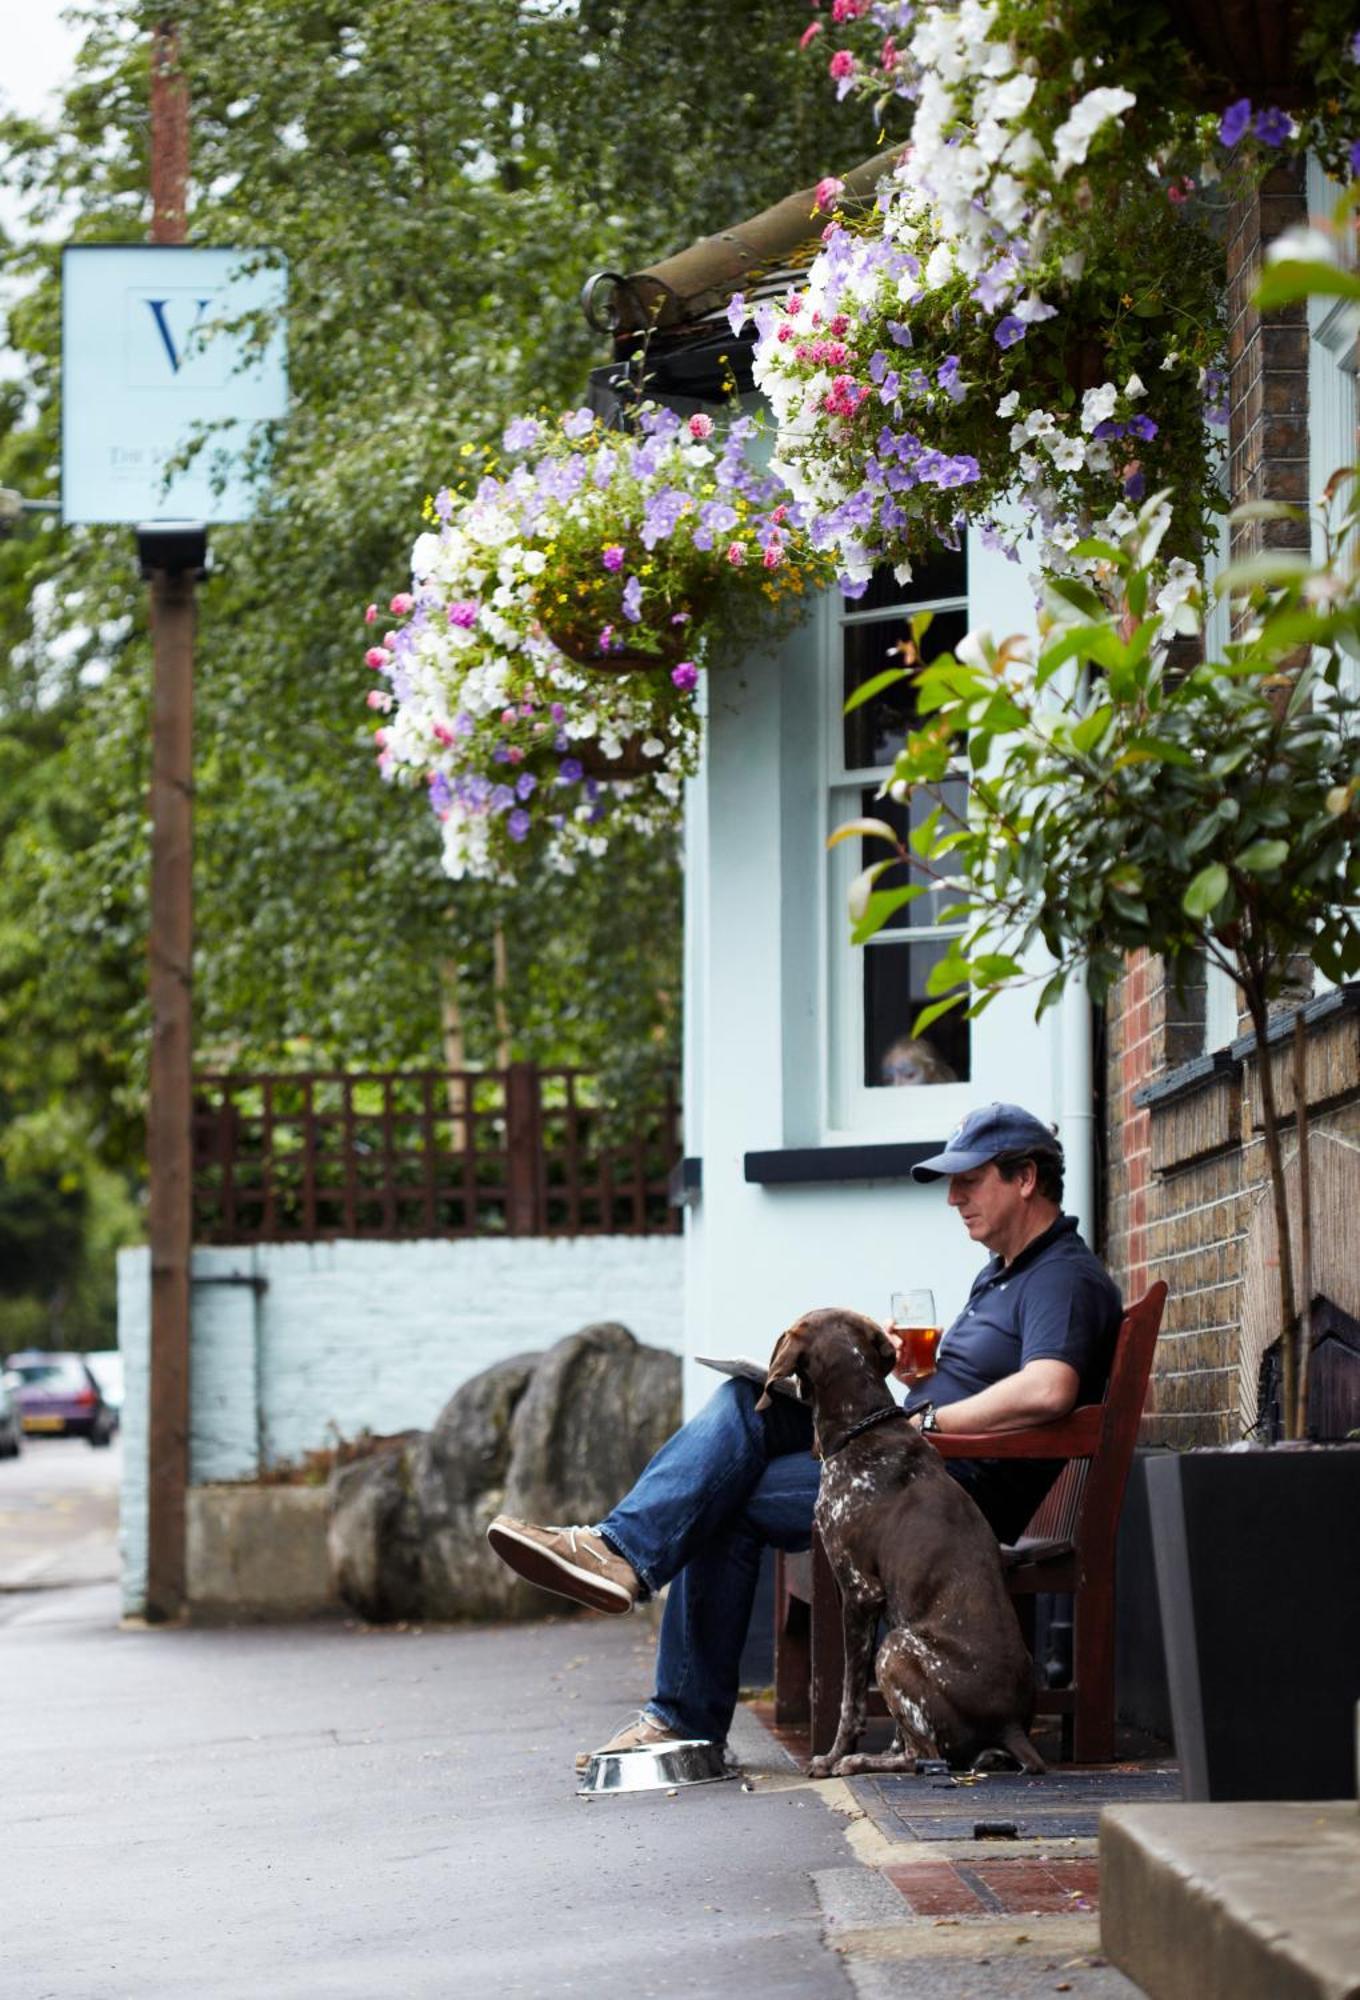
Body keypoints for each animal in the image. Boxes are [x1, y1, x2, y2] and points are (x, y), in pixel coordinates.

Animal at [760, 1312, 1048, 1784]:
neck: (864, 1427)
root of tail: (1011, 1726)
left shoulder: (858, 1593)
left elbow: (850, 1697)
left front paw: (834, 1756)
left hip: (896, 1646)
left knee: (926, 1756)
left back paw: (859, 1761)